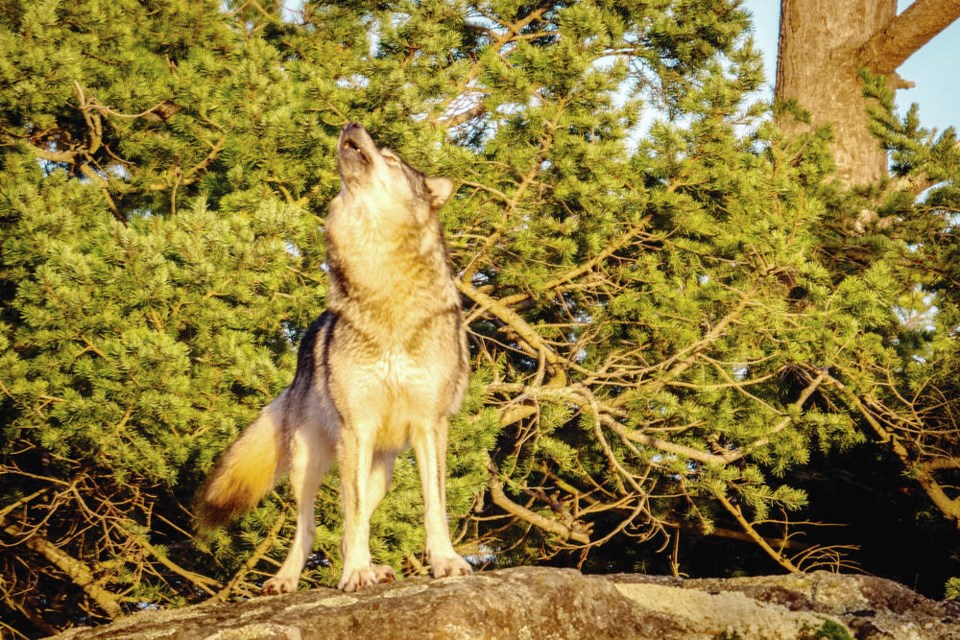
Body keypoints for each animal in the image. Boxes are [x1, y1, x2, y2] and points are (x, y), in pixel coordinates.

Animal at [197, 122, 474, 592]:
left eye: (392, 157)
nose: (351, 125)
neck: (384, 291)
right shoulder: (355, 428)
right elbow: (352, 517)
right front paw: (357, 573)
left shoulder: (430, 425)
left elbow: (433, 506)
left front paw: (444, 561)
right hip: (310, 463)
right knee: (309, 526)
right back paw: (289, 579)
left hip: (378, 470)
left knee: (349, 521)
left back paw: (373, 569)